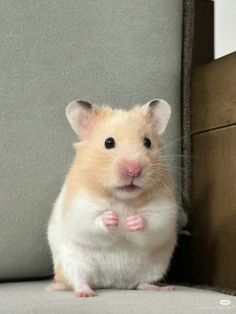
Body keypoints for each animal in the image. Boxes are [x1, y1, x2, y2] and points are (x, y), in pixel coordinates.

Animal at [47, 99, 177, 298]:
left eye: (147, 142)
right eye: (109, 142)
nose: (134, 170)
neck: (123, 198)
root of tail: (112, 282)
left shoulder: (164, 208)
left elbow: (154, 221)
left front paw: (132, 221)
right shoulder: (79, 206)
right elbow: (91, 220)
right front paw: (113, 218)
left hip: (155, 267)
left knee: (142, 283)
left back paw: (164, 288)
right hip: (72, 261)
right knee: (78, 280)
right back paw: (84, 293)